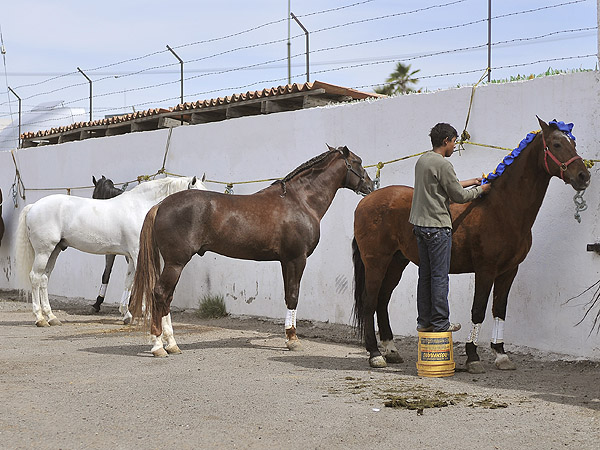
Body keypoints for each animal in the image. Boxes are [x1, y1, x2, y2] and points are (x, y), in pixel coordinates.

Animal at [15, 176, 205, 326]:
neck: (140, 207)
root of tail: (33, 206)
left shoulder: (131, 256)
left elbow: (129, 282)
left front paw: (127, 315)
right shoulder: (137, 254)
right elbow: (145, 281)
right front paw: (147, 314)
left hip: (54, 251)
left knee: (44, 279)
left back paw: (51, 317)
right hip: (44, 251)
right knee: (35, 277)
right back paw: (40, 318)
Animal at [131, 146, 372, 356]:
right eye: (358, 162)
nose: (371, 186)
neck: (301, 201)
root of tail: (161, 205)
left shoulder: (285, 261)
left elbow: (287, 295)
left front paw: (289, 337)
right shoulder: (297, 259)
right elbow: (294, 296)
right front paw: (293, 340)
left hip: (173, 263)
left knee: (166, 298)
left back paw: (171, 344)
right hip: (176, 263)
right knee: (159, 294)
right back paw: (158, 347)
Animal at [352, 117, 592, 372]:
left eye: (573, 143)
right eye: (556, 144)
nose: (583, 176)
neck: (502, 208)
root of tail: (366, 200)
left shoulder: (509, 271)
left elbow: (499, 309)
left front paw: (501, 354)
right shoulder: (485, 270)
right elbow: (478, 310)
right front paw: (473, 356)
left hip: (397, 262)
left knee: (382, 300)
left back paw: (391, 350)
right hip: (376, 262)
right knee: (369, 301)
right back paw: (375, 354)